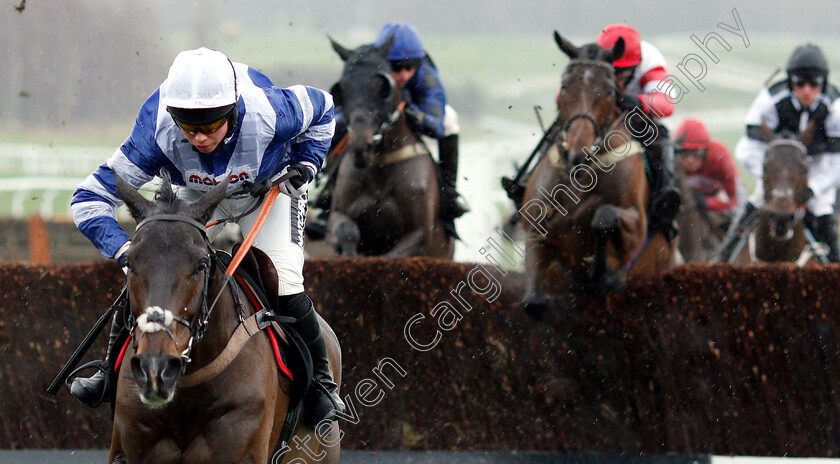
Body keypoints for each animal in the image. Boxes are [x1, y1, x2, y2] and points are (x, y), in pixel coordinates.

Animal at [326, 35, 456, 258]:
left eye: (382, 86)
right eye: (342, 88)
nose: (361, 146)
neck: (381, 166)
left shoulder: (419, 236)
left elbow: (393, 255)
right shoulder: (338, 215)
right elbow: (347, 232)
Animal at [524, 32, 676, 320]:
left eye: (609, 91)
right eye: (565, 85)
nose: (577, 151)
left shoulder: (637, 226)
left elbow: (604, 217)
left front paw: (603, 275)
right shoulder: (538, 229)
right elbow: (533, 301)